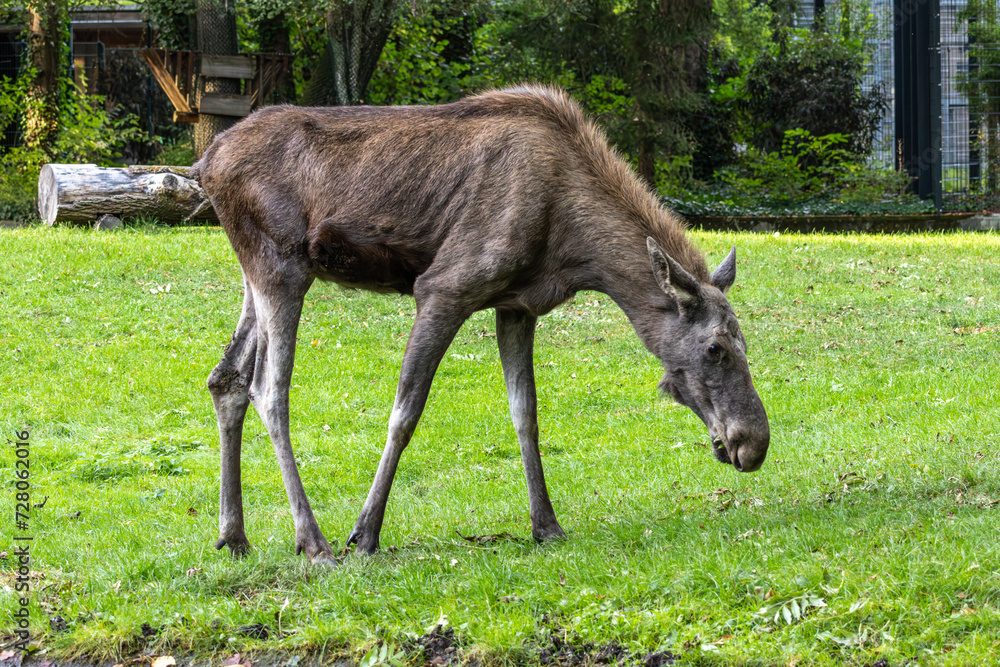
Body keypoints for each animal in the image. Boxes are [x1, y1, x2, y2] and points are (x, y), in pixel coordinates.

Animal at [193, 85, 770, 564]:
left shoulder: (517, 306)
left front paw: (547, 525)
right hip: (282, 267)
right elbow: (404, 413)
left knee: (226, 379)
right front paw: (366, 532)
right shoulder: (444, 288)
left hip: (256, 275)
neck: (577, 252)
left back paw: (233, 535)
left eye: (745, 342)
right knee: (269, 389)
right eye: (716, 348)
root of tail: (206, 163)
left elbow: (525, 414)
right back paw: (313, 542)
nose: (754, 443)